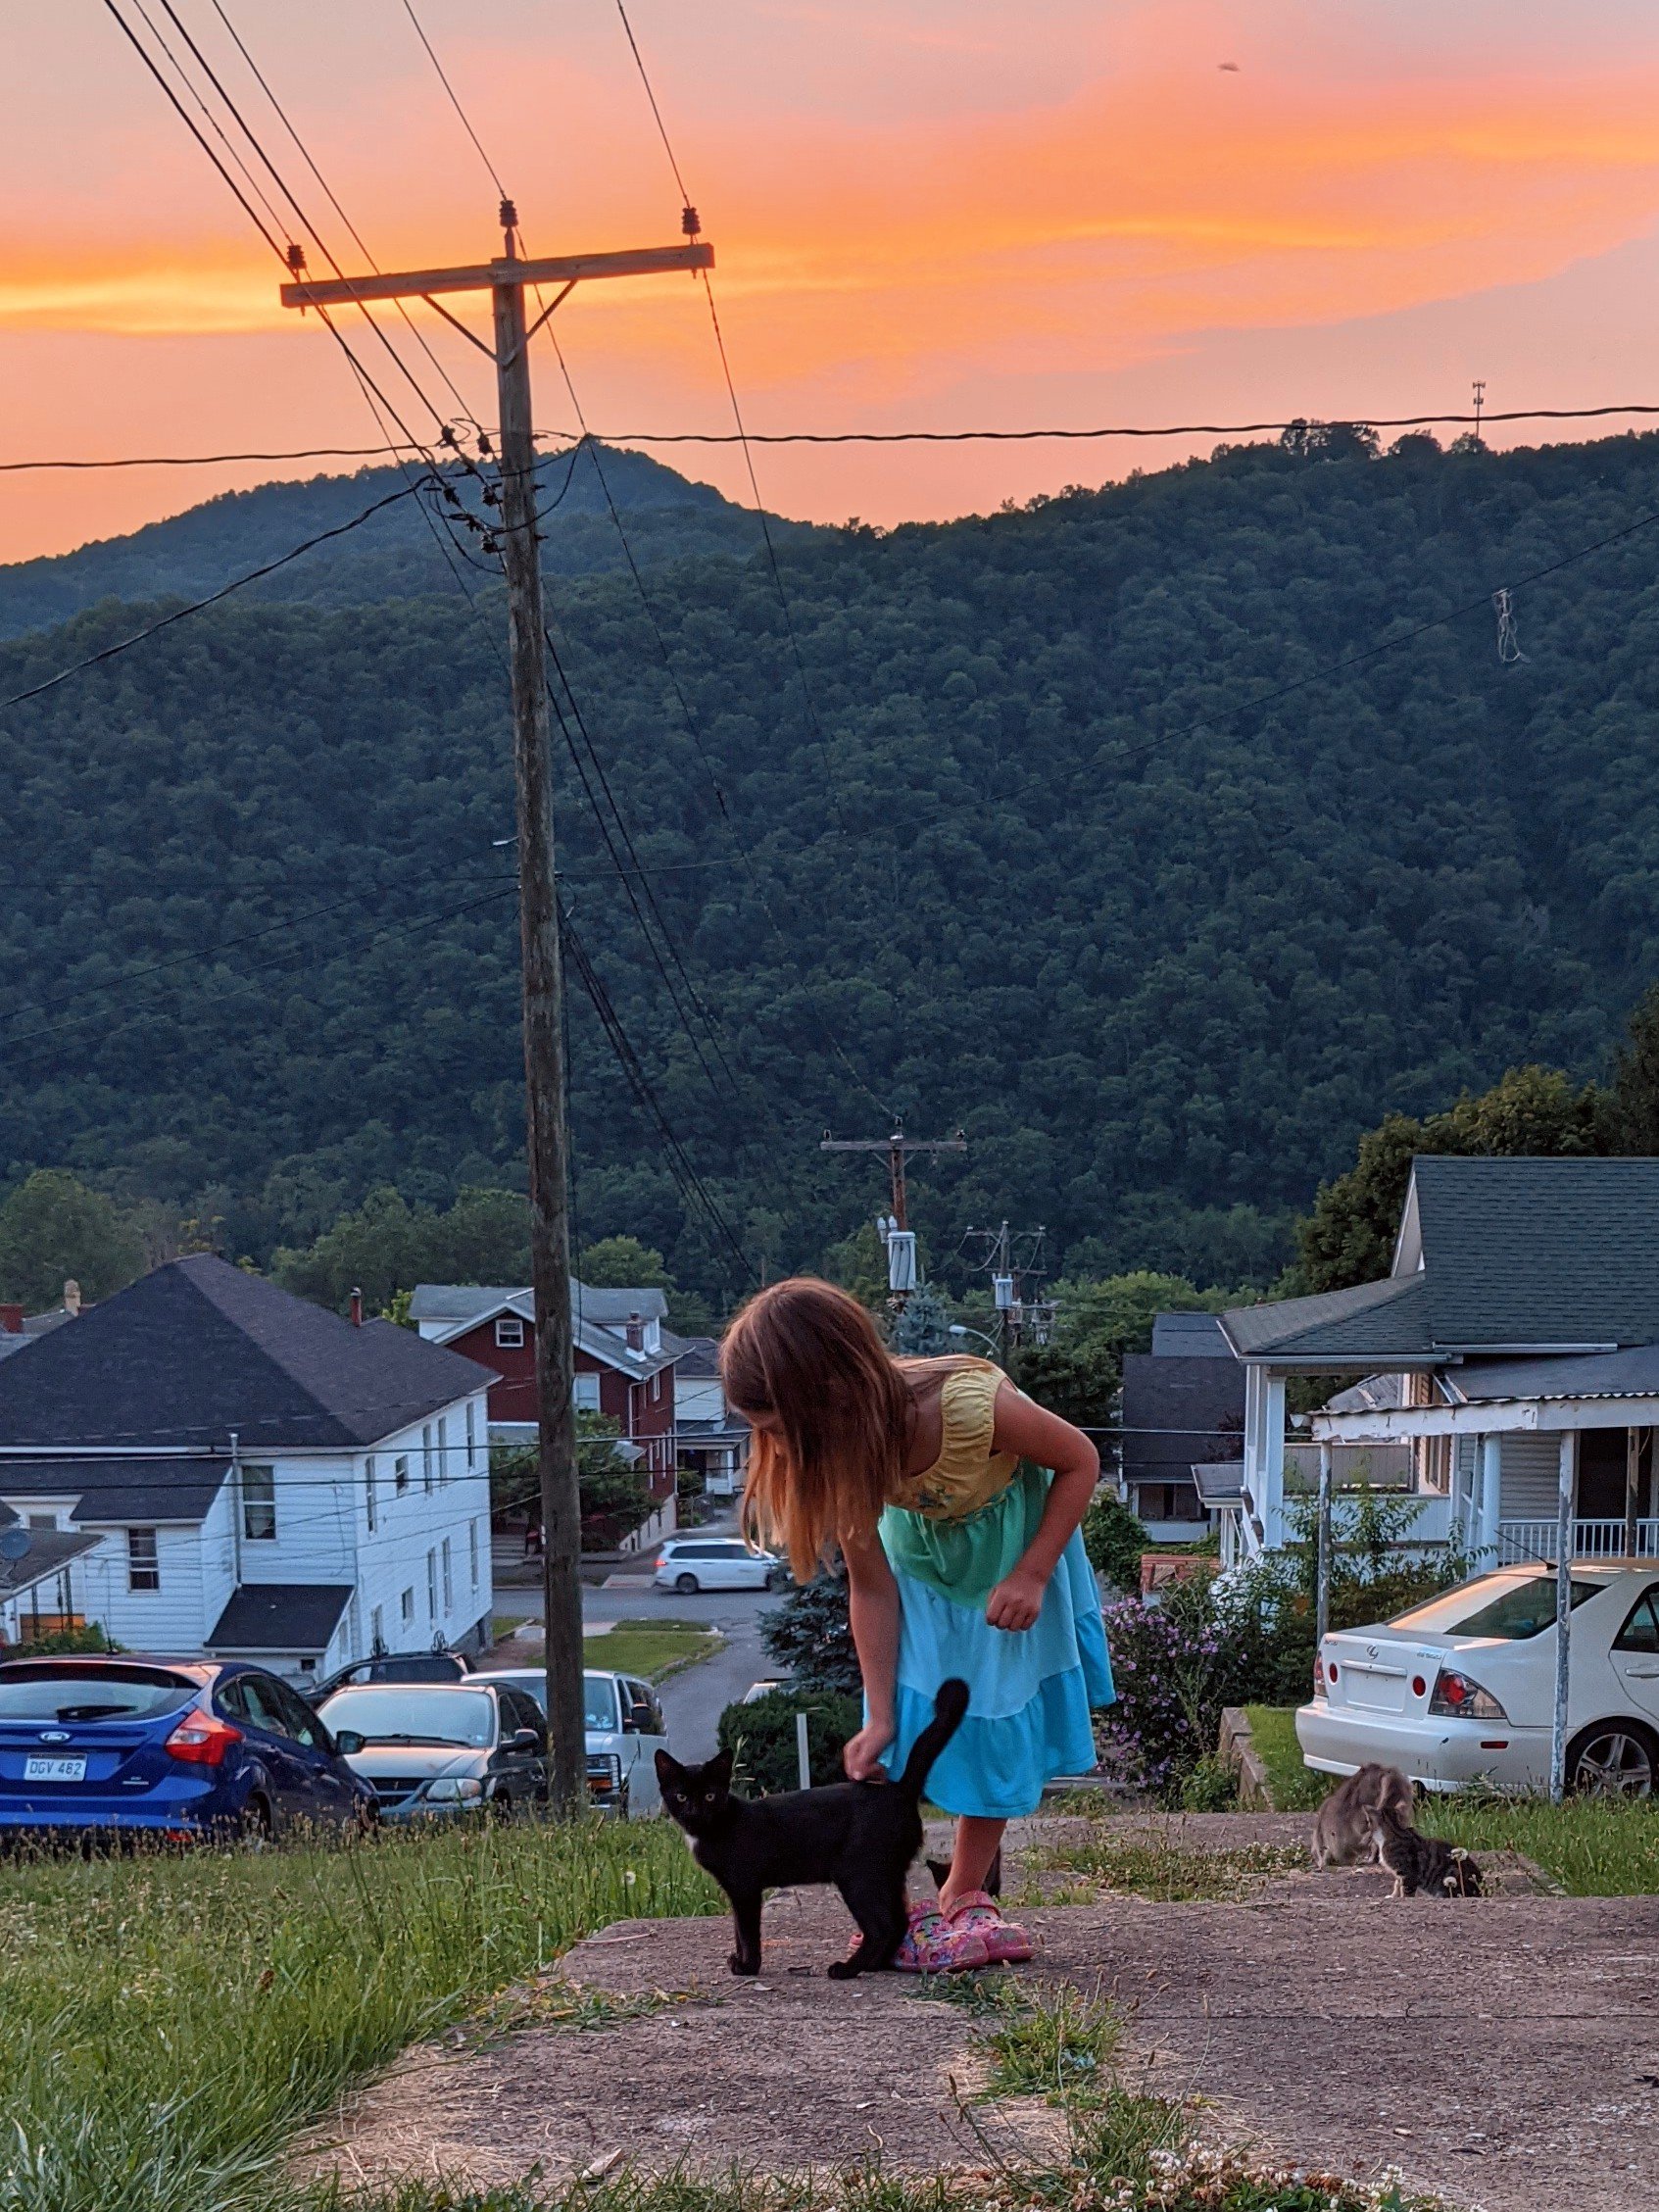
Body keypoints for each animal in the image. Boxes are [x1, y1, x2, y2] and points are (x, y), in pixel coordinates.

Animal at [655, 1677, 969, 1978]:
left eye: (709, 1796)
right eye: (681, 1797)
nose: (694, 1812)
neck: (714, 1828)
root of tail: (899, 1790)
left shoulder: (745, 1888)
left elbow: (747, 1933)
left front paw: (747, 1967)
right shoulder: (735, 1890)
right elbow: (737, 1930)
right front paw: (740, 1961)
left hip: (858, 1873)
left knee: (883, 1926)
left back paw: (846, 1969)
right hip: (888, 1872)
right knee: (899, 1920)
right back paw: (876, 1964)